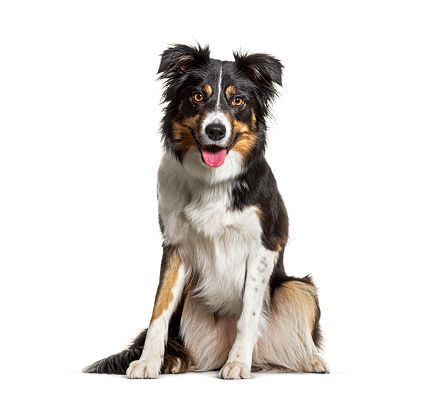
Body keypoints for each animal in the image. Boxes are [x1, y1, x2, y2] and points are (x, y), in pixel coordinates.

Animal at [84, 45, 332, 382]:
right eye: (198, 96)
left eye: (237, 100)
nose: (215, 130)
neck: (213, 180)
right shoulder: (175, 246)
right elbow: (158, 310)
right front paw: (148, 362)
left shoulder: (264, 246)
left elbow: (248, 314)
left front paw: (238, 363)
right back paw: (175, 362)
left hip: (298, 287)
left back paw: (308, 361)